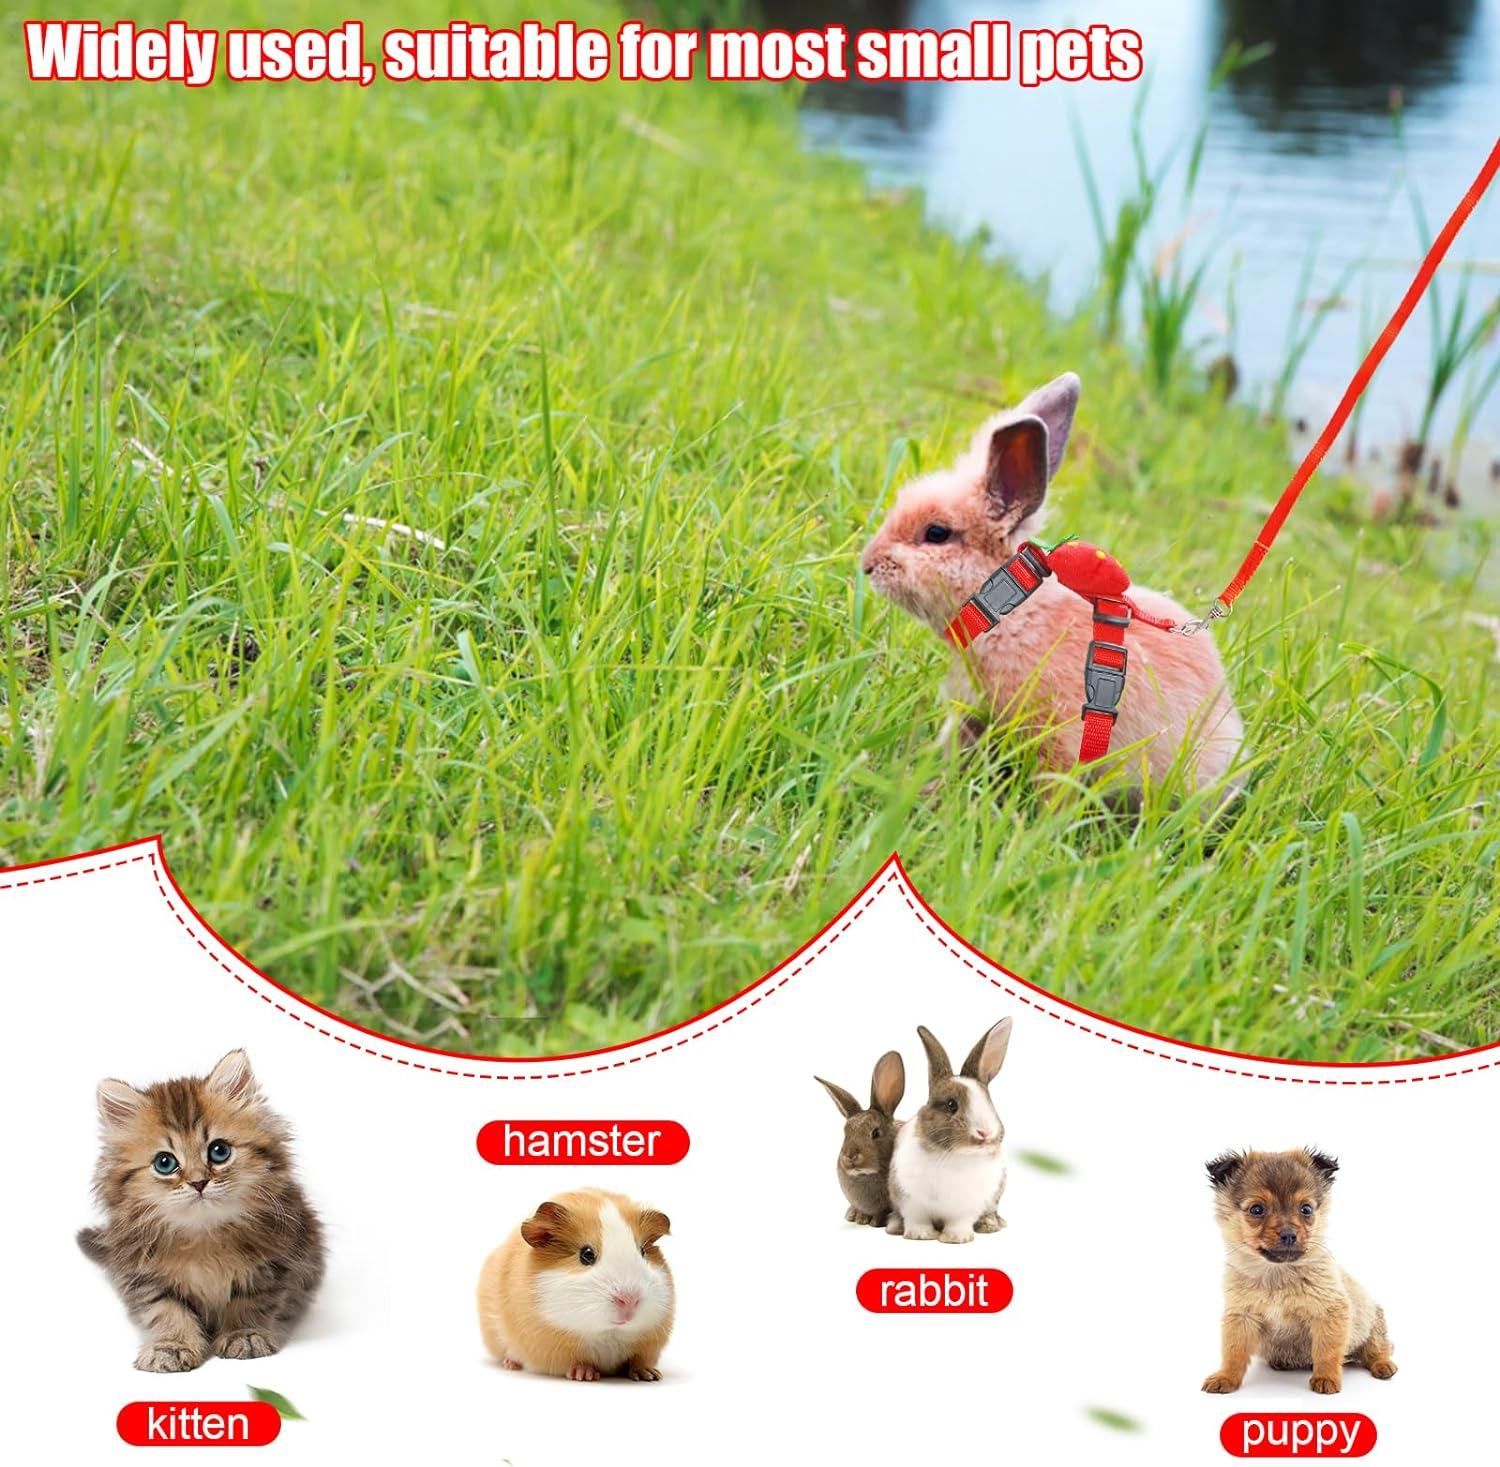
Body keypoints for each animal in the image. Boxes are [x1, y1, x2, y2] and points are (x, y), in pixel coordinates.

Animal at [887, 1019, 1011, 1244]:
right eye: (951, 1105)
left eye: (989, 1103)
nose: (984, 1133)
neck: (955, 1156)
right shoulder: (910, 1201)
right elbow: (917, 1219)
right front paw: (920, 1235)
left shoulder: (967, 1206)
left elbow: (959, 1222)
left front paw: (956, 1238)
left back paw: (990, 1224)